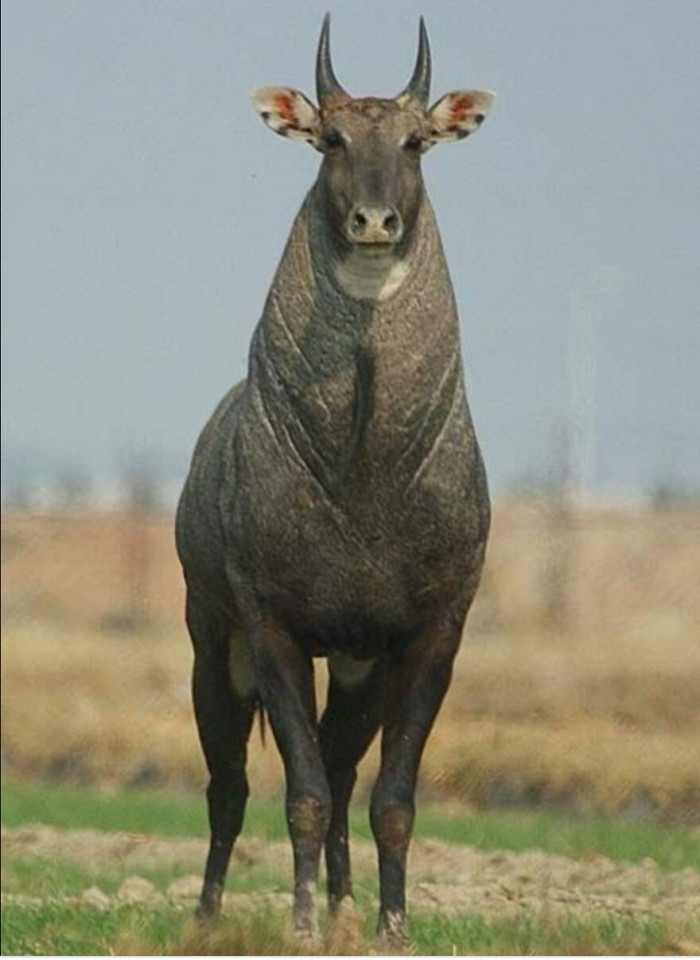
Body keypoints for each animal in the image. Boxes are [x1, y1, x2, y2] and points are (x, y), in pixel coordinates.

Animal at [175, 14, 495, 944]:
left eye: (417, 141)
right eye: (331, 138)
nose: (374, 220)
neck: (361, 469)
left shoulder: (429, 634)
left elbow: (392, 799)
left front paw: (391, 929)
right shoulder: (271, 626)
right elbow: (304, 795)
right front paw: (300, 927)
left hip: (356, 668)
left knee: (347, 770)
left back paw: (351, 906)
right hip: (212, 644)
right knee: (229, 785)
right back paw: (208, 917)